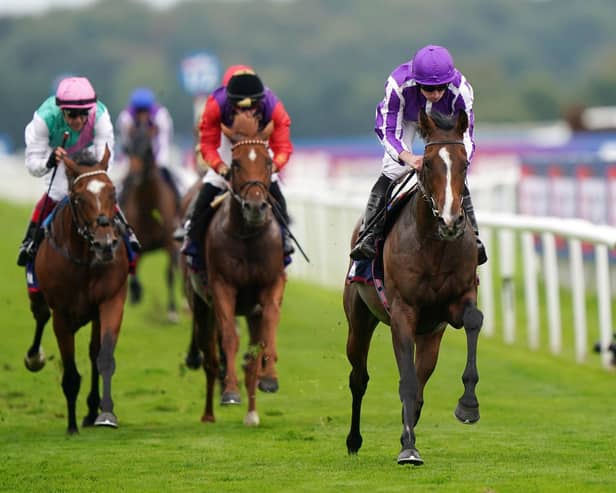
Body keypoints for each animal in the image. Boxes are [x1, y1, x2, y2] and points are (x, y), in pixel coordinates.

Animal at [24, 148, 130, 432]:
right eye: (79, 198)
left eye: (113, 192)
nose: (106, 244)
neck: (84, 258)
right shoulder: (61, 314)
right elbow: (70, 372)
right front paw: (71, 426)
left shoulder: (111, 300)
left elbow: (104, 357)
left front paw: (106, 414)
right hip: (39, 295)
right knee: (40, 316)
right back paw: (34, 357)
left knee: (94, 352)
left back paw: (92, 410)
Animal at [119, 123, 179, 320]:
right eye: (127, 148)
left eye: (147, 148)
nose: (133, 176)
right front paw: (136, 292)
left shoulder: (169, 241)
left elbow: (169, 272)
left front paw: (172, 310)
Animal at [185, 111, 286, 422]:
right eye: (236, 163)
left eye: (268, 162)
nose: (255, 207)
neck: (248, 236)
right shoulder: (221, 287)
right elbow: (229, 337)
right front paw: (230, 391)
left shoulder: (271, 284)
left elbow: (269, 325)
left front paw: (270, 378)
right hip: (200, 304)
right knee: (209, 355)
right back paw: (209, 413)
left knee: (250, 354)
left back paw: (252, 412)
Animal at [344, 108, 484, 466]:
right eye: (429, 164)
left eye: (465, 164)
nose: (451, 222)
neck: (433, 245)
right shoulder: (403, 313)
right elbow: (405, 382)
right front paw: (408, 449)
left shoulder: (454, 304)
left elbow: (473, 320)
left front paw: (468, 406)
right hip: (359, 319)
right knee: (359, 378)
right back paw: (354, 440)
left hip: (430, 335)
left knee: (420, 381)